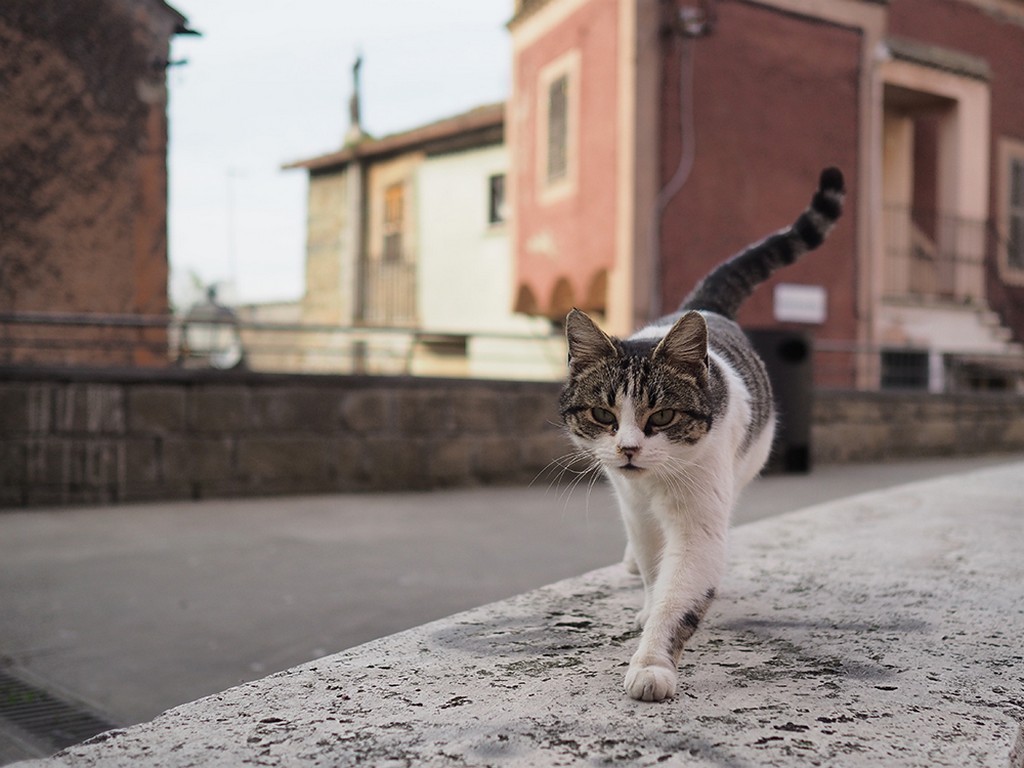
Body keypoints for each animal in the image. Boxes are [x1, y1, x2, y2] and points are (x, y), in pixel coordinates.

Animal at [558, 167, 845, 702]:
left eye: (663, 417)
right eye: (604, 415)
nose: (628, 448)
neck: (655, 484)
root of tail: (705, 308)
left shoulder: (699, 515)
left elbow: (680, 591)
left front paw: (652, 662)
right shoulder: (635, 508)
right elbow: (654, 567)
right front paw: (648, 604)